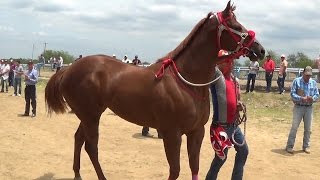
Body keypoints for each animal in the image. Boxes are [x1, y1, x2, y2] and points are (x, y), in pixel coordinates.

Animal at [45, 1, 264, 179]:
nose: (260, 50)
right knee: (91, 147)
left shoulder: (196, 132)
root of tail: (68, 69)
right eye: (236, 26)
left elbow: (194, 167)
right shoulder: (172, 134)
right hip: (91, 116)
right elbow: (175, 171)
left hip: (89, 115)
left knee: (78, 139)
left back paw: (77, 174)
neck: (185, 82)